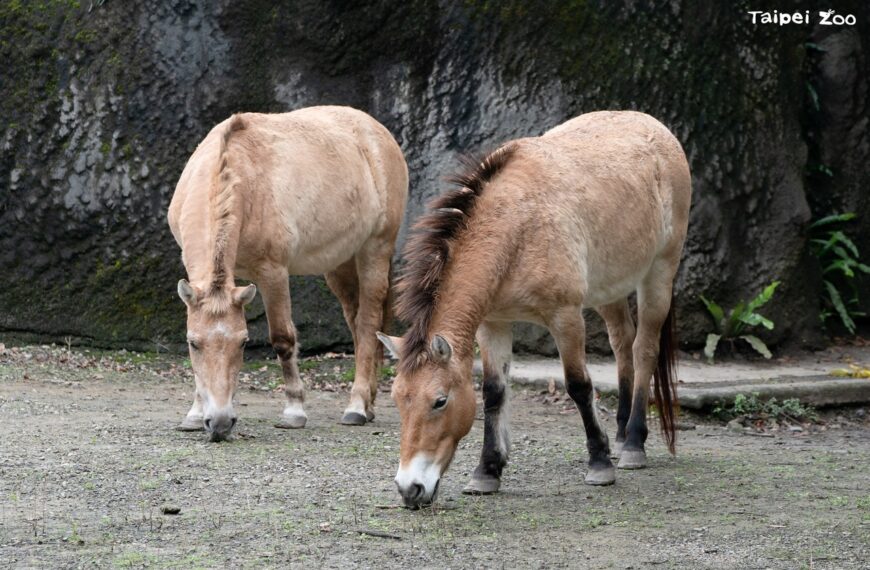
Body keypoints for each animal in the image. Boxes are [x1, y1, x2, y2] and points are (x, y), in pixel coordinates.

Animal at [168, 106, 408, 441]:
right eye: (193, 343)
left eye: (243, 342)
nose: (220, 424)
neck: (241, 178)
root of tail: (376, 131)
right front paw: (194, 413)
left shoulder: (273, 273)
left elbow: (282, 338)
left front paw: (294, 412)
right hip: (339, 263)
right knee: (356, 320)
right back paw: (369, 404)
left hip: (374, 250)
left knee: (368, 322)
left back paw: (357, 407)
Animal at [377, 111, 691, 508]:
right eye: (397, 399)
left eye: (440, 401)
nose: (410, 489)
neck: (516, 227)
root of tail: (656, 127)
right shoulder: (493, 323)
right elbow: (494, 391)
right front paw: (487, 471)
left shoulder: (565, 317)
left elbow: (578, 385)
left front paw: (600, 464)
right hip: (610, 289)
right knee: (623, 344)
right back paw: (621, 435)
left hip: (659, 273)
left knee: (644, 348)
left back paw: (633, 444)